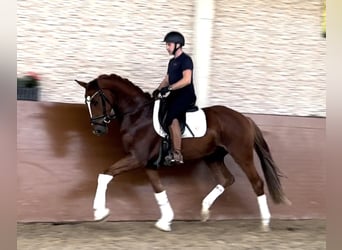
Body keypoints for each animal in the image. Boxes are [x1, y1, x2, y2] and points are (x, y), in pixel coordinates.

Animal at [75, 74, 288, 232]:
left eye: (95, 102)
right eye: (86, 102)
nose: (98, 130)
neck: (137, 115)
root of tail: (245, 118)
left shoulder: (136, 158)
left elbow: (105, 174)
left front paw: (99, 212)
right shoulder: (148, 163)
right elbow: (159, 190)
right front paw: (165, 221)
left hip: (241, 155)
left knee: (257, 183)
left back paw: (265, 222)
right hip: (213, 157)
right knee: (226, 180)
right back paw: (204, 210)